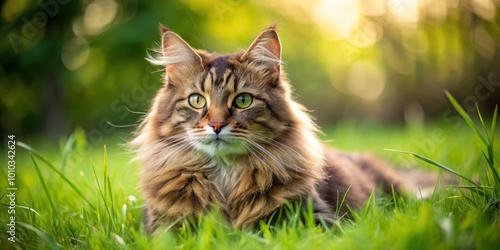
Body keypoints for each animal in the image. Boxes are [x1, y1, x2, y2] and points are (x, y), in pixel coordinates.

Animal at [134, 24, 430, 233]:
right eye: (197, 100)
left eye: (243, 100)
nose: (217, 125)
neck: (225, 176)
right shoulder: (163, 225)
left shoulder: (316, 217)